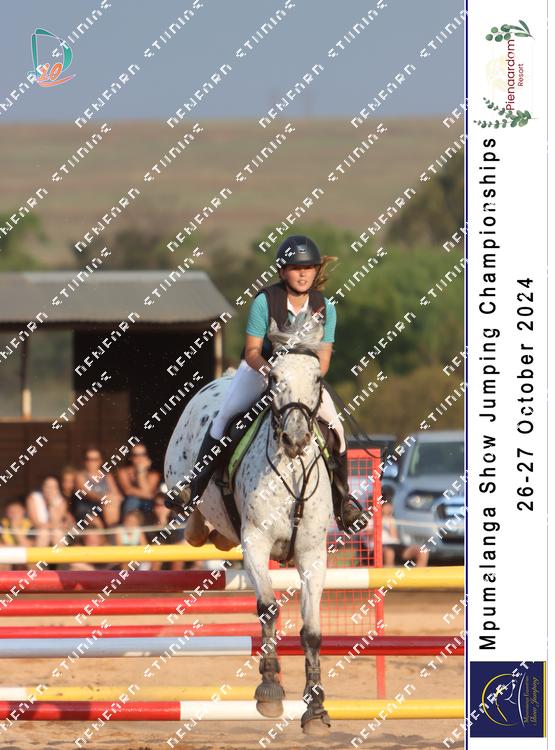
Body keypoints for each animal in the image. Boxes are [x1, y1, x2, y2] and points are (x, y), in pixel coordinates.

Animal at [164, 314, 334, 734]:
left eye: (317, 379)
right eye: (274, 377)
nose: (295, 438)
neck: (291, 469)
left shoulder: (312, 554)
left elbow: (311, 630)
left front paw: (315, 708)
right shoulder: (255, 542)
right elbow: (269, 608)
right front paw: (270, 689)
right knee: (194, 515)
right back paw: (196, 522)